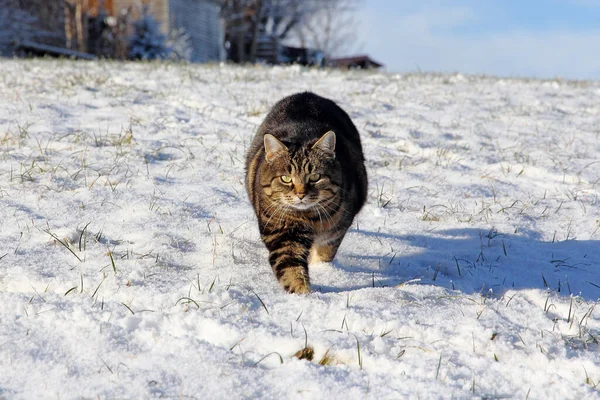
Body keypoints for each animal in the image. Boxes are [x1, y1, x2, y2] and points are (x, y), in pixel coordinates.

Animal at [245, 94, 368, 294]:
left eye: (315, 177)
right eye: (286, 178)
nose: (301, 194)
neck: (310, 219)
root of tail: (307, 94)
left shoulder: (337, 230)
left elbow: (326, 251)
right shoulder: (283, 231)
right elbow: (290, 268)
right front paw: (303, 295)